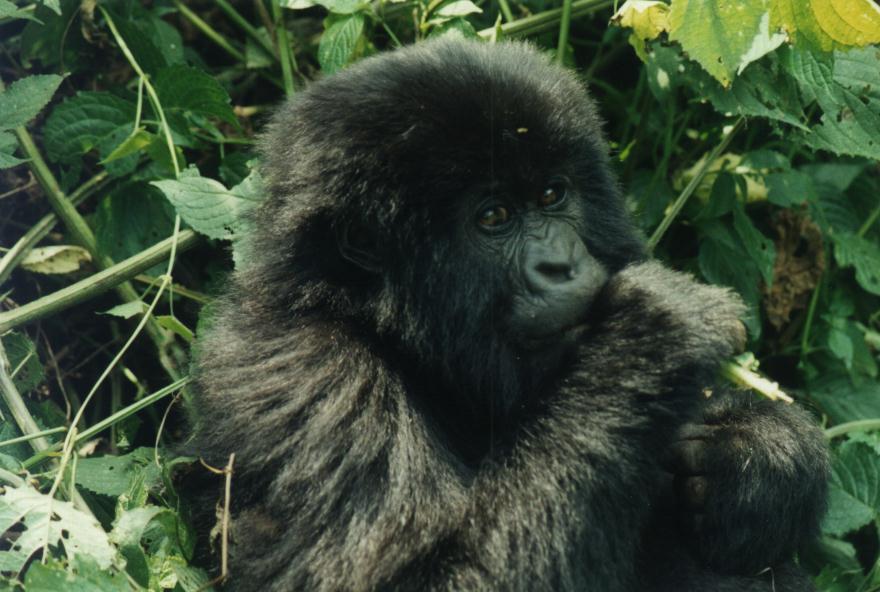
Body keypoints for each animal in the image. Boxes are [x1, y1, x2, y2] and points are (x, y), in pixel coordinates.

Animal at [189, 39, 828, 588]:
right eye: (493, 217)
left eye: (551, 195)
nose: (561, 264)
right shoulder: (312, 375)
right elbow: (420, 579)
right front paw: (652, 338)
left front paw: (756, 459)